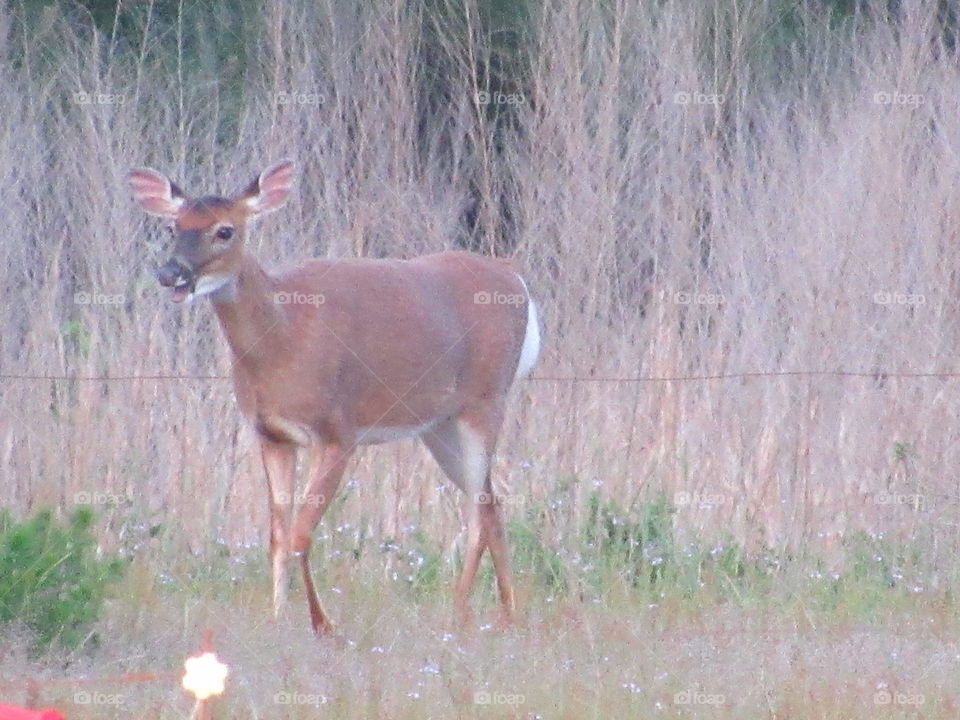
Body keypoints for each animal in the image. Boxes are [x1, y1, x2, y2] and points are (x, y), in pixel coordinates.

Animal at [127, 161, 541, 634]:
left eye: (225, 230)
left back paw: (461, 611)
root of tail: (516, 278)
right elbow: (278, 535)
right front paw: (277, 618)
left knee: (480, 506)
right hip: (439, 424)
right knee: (492, 496)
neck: (283, 340)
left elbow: (302, 533)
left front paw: (321, 623)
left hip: (486, 399)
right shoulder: (271, 435)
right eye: (173, 226)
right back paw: (504, 613)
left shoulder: (338, 431)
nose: (170, 273)